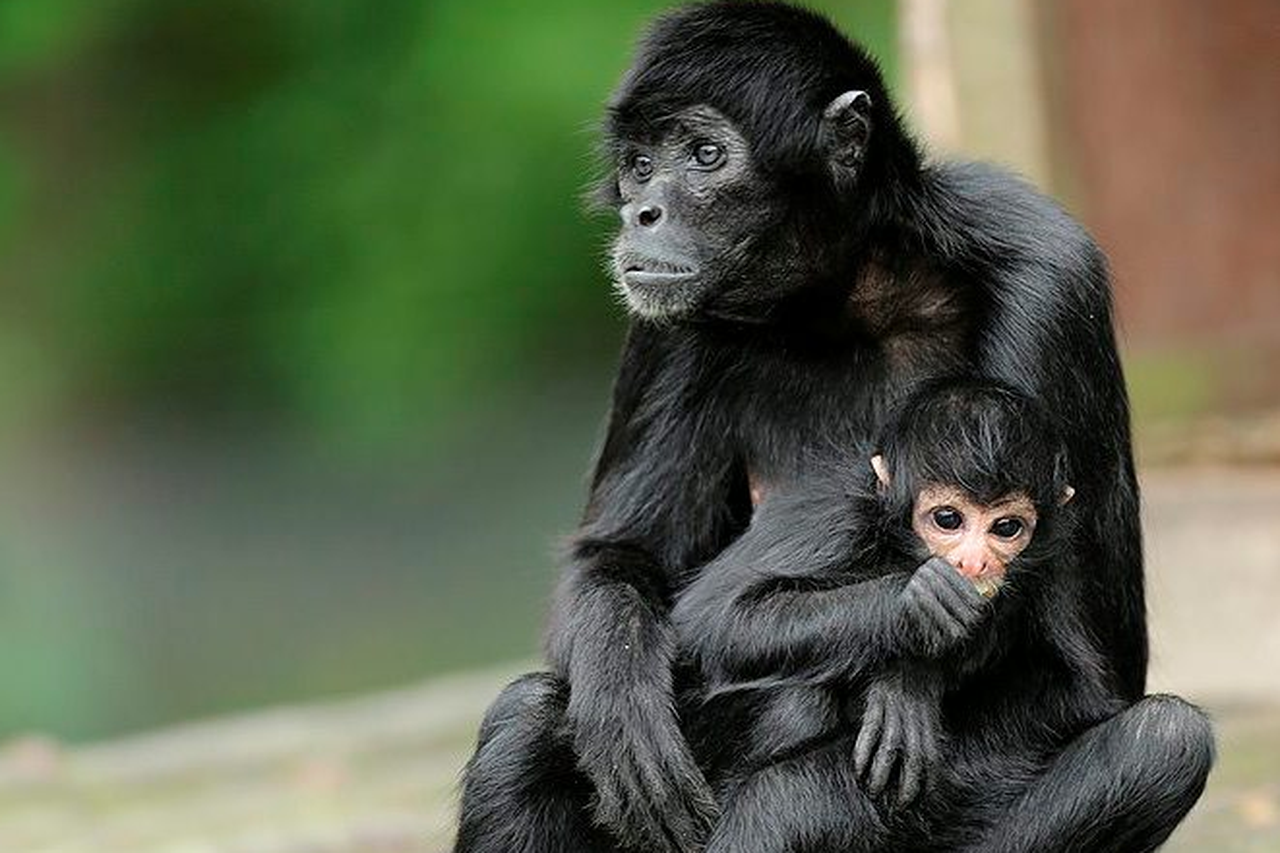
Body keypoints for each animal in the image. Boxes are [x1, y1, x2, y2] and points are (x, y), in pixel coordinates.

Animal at [458, 1, 1208, 850]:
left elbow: (1083, 677)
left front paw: (891, 699)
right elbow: (618, 555)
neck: (845, 296)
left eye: (706, 155)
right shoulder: (665, 321)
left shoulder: (1050, 272)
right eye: (642, 165)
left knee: (1162, 739)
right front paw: (622, 702)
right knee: (527, 716)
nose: (641, 212)